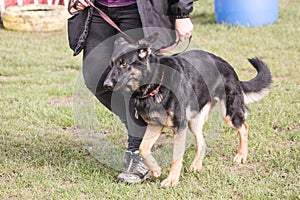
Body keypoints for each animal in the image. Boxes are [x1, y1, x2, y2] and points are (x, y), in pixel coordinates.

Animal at [103, 33, 272, 187]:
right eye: (111, 64)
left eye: (124, 64)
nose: (106, 85)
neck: (155, 84)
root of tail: (227, 65)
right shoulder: (155, 125)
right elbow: (143, 148)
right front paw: (156, 170)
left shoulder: (179, 127)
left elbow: (176, 157)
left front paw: (172, 180)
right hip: (193, 122)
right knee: (202, 143)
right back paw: (197, 165)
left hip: (228, 114)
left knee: (244, 127)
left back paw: (241, 155)